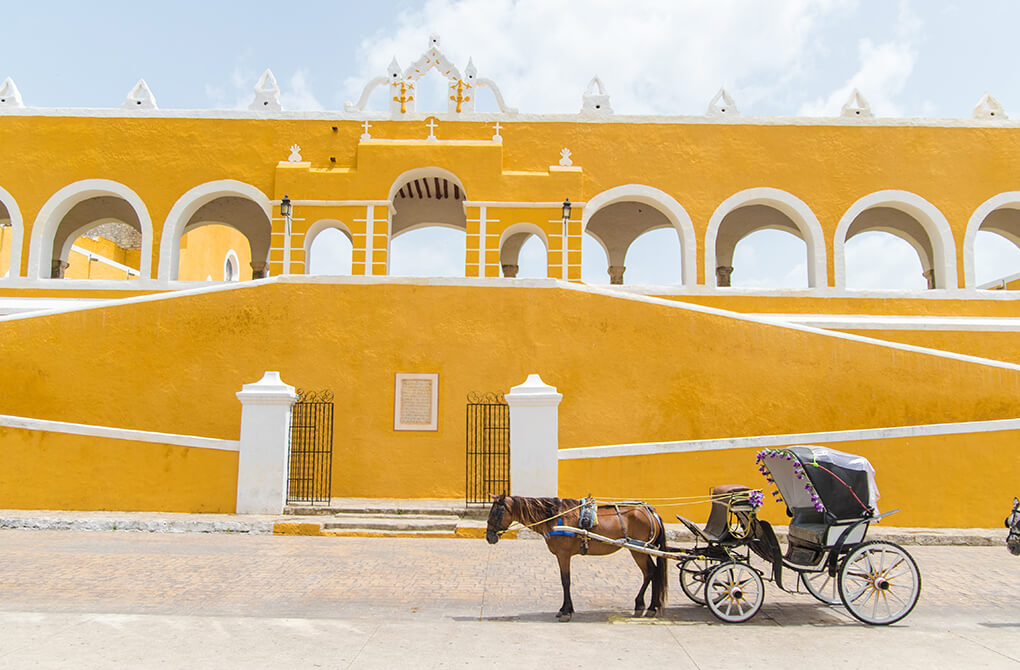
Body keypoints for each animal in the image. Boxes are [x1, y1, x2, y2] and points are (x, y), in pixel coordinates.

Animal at [485, 491, 669, 620]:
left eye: (496, 513)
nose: (489, 537)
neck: (555, 517)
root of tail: (652, 513)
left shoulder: (563, 554)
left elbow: (565, 581)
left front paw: (566, 611)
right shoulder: (562, 555)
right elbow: (565, 581)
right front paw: (564, 609)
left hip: (638, 550)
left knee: (650, 572)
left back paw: (645, 607)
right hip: (640, 550)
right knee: (652, 572)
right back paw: (648, 606)